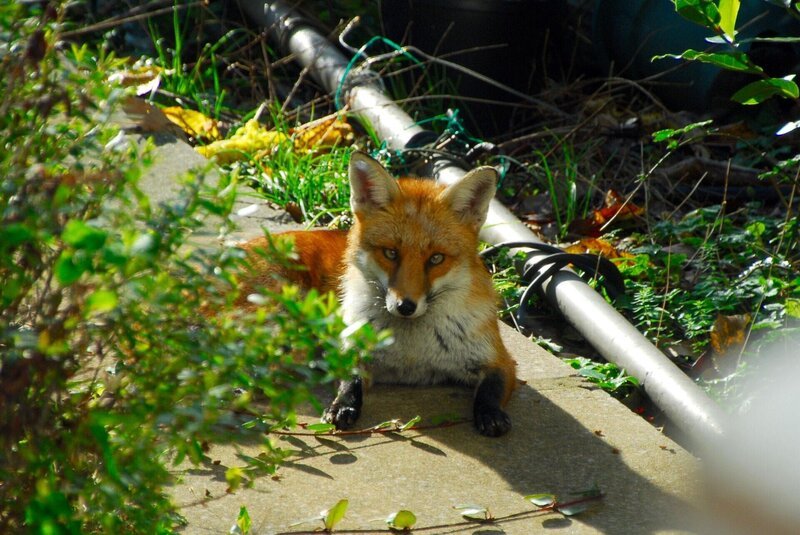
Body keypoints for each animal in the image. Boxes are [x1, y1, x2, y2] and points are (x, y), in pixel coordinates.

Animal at [239, 152, 517, 437]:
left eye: (436, 258)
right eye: (391, 253)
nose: (406, 306)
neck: (412, 353)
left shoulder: (499, 360)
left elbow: (491, 390)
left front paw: (490, 414)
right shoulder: (351, 347)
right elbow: (350, 380)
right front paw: (343, 405)